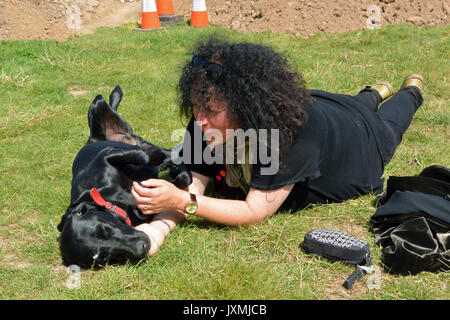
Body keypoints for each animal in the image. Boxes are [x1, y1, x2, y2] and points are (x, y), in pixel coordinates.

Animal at [56, 85, 192, 268]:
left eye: (103, 229)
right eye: (104, 258)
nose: (142, 247)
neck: (112, 201)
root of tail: (92, 139)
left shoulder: (106, 155)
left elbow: (144, 156)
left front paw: (163, 165)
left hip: (98, 106)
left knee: (107, 102)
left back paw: (116, 93)